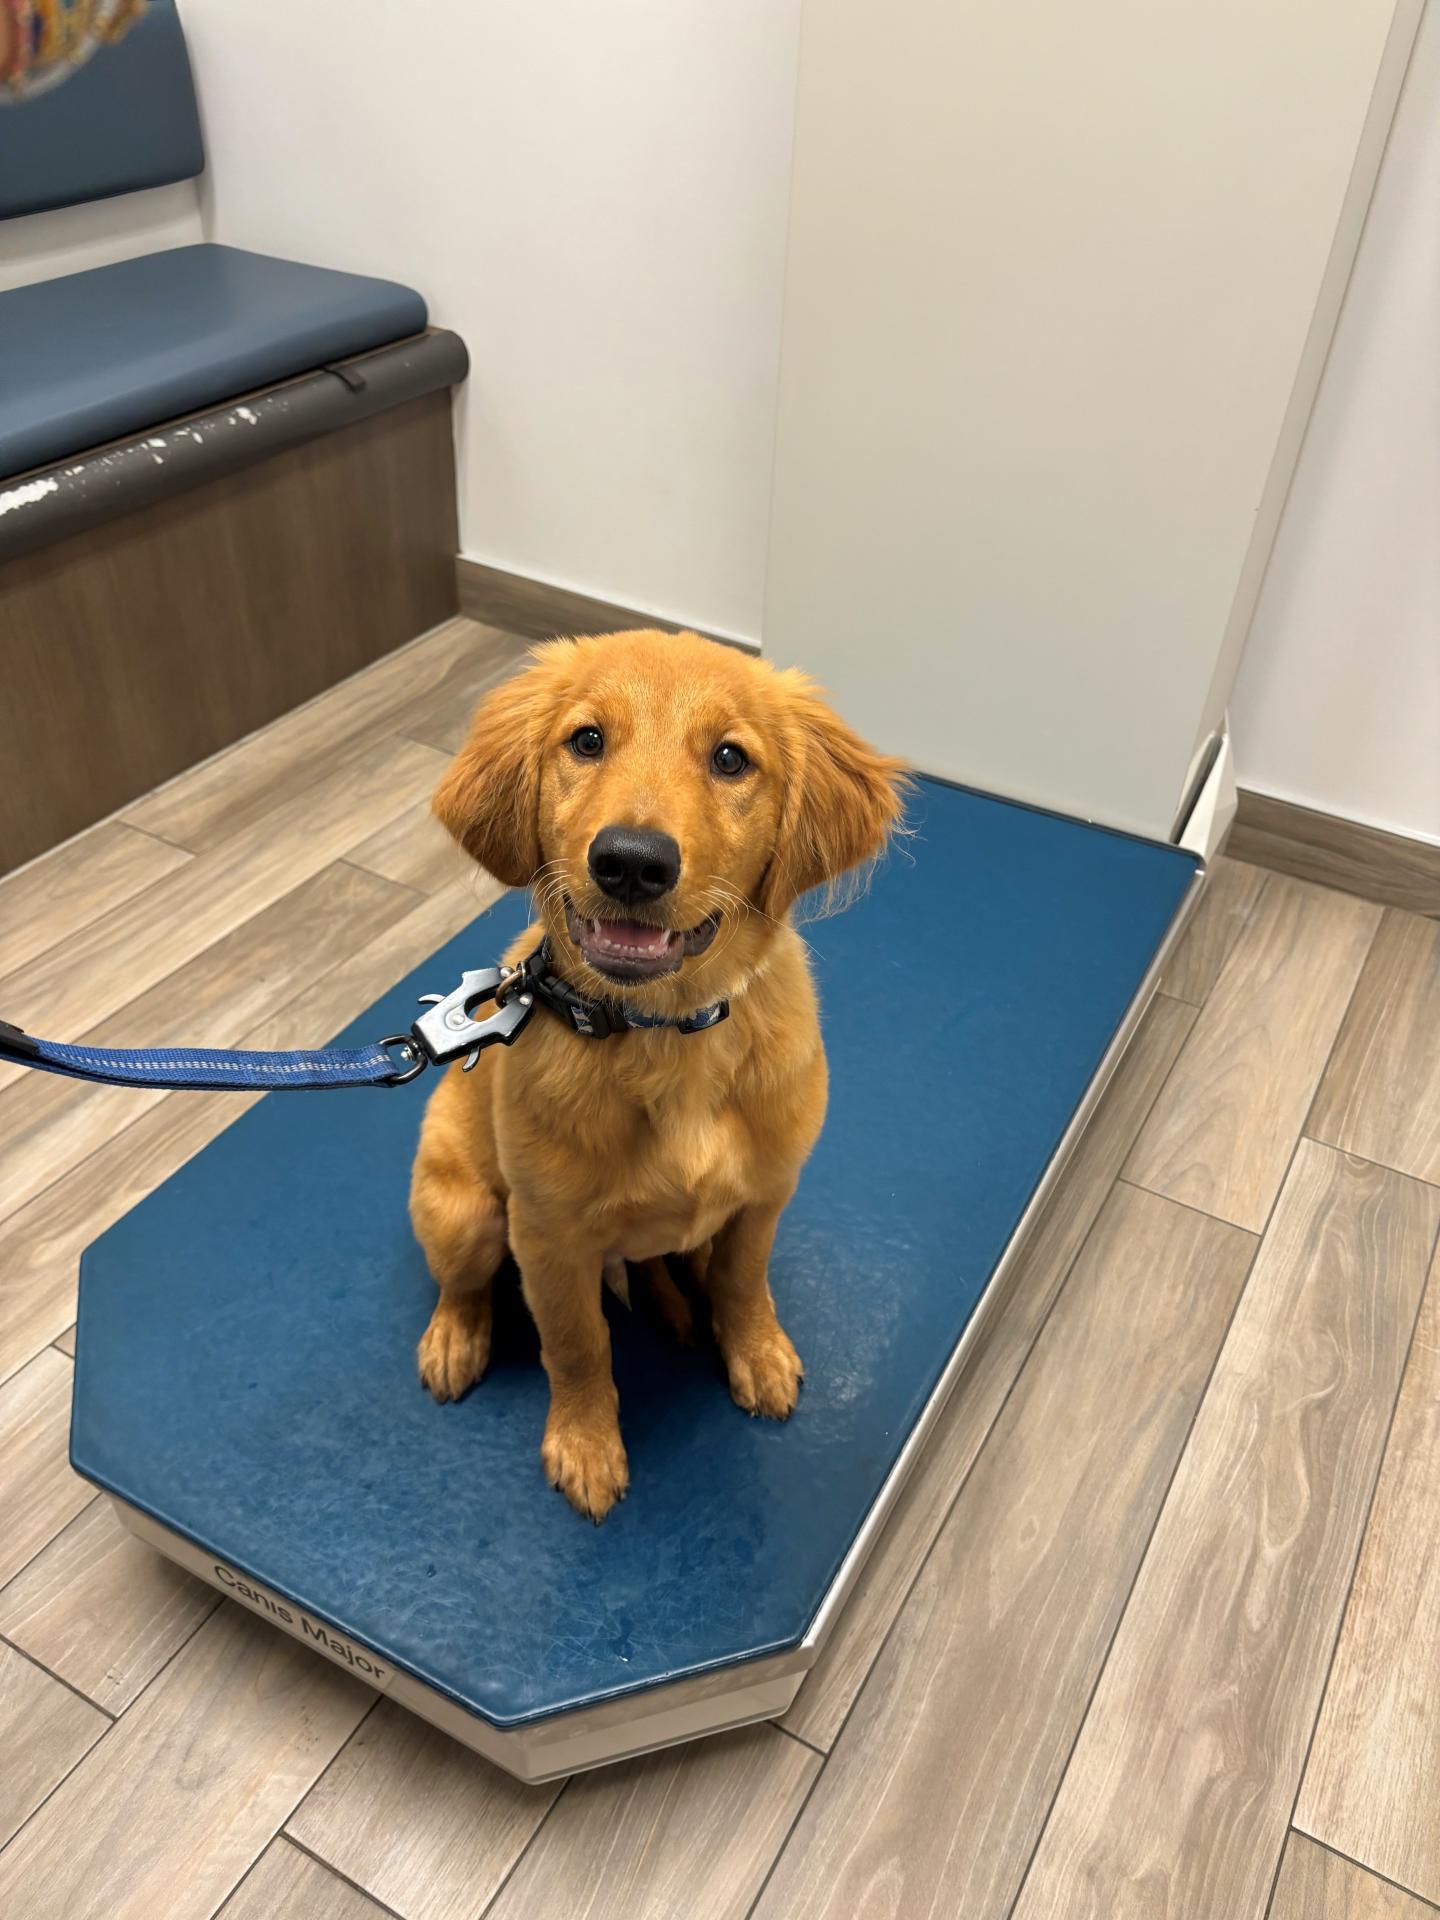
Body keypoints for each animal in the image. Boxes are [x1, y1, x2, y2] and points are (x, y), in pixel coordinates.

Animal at [410, 625, 902, 1512]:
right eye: (586, 741)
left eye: (731, 758)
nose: (632, 862)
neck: (667, 1035)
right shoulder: (549, 1241)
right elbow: (577, 1344)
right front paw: (585, 1445)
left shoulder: (766, 1195)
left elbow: (743, 1279)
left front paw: (756, 1352)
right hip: (466, 1214)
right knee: (462, 1283)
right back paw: (454, 1340)